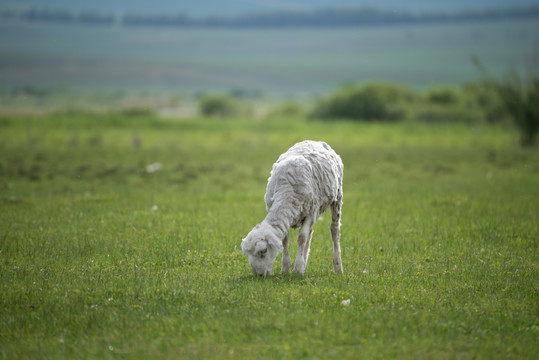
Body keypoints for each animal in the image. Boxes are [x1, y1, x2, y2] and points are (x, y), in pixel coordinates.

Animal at [243, 140, 344, 276]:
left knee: (334, 230)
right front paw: (286, 268)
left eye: (263, 251)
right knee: (310, 233)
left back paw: (338, 266)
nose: (258, 275)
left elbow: (302, 238)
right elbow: (285, 239)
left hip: (337, 197)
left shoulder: (312, 212)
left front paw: (298, 269)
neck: (286, 191)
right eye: (247, 255)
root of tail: (315, 141)